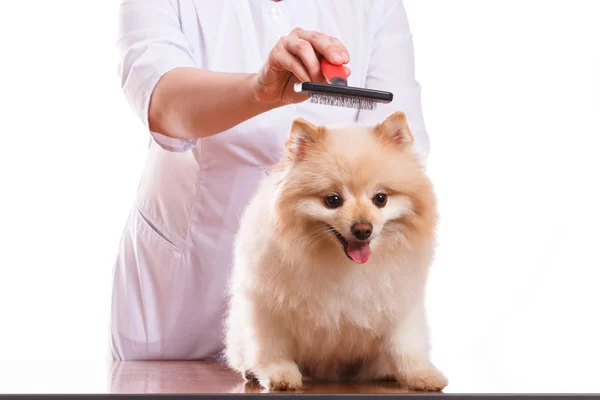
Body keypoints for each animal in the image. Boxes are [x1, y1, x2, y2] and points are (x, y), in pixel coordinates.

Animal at [223, 111, 448, 390]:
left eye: (381, 199)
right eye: (333, 200)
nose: (363, 229)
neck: (344, 263)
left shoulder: (398, 303)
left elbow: (405, 345)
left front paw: (422, 375)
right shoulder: (269, 307)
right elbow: (273, 348)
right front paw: (279, 374)